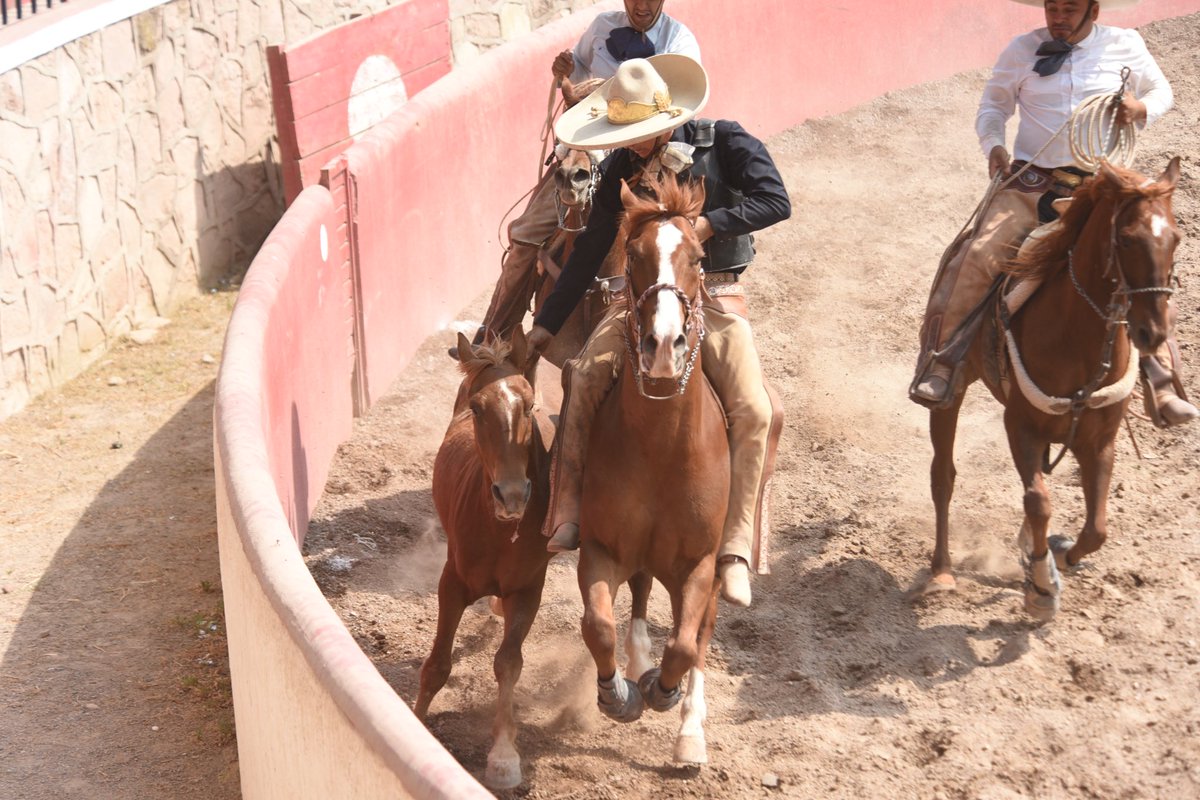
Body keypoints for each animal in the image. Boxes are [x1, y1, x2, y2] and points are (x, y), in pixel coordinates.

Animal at [573, 173, 724, 762]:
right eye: (633, 255)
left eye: (699, 257)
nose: (663, 346)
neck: (662, 449)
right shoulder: (601, 549)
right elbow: (598, 625)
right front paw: (617, 693)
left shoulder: (700, 563)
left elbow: (684, 644)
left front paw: (665, 693)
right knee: (636, 599)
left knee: (699, 634)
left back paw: (690, 732)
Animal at [926, 154, 1180, 618]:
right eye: (1127, 239)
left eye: (1176, 237)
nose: (1152, 333)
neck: (1077, 341)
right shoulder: (1020, 426)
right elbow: (1039, 502)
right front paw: (1042, 589)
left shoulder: (1099, 440)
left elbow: (1096, 527)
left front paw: (1058, 555)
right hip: (949, 391)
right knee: (943, 476)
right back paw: (941, 573)